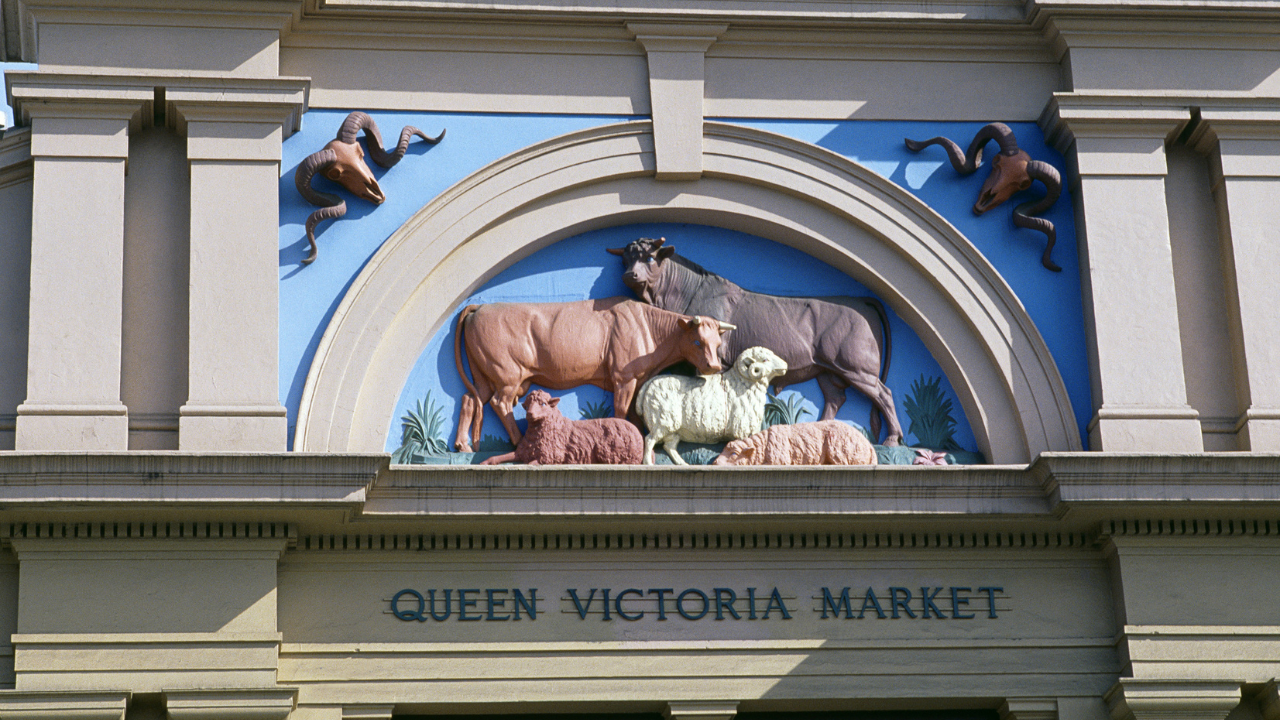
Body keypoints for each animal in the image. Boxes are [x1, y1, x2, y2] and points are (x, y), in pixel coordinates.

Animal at [453, 295, 732, 448]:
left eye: (717, 342)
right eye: (697, 341)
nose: (714, 366)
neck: (648, 327)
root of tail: (480, 307)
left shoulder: (635, 378)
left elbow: (634, 412)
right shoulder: (623, 376)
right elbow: (621, 410)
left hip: (484, 376)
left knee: (470, 399)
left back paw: (464, 446)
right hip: (507, 375)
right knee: (500, 403)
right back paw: (518, 441)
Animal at [478, 386, 640, 466]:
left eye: (543, 404)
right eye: (527, 405)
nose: (529, 414)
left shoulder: (551, 455)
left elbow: (530, 464)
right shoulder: (523, 451)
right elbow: (502, 456)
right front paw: (486, 462)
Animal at [634, 345, 783, 461]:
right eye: (765, 359)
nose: (785, 365)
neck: (739, 382)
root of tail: (650, 382)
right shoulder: (741, 429)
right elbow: (745, 448)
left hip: (673, 429)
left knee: (669, 446)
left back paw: (683, 464)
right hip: (662, 420)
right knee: (649, 440)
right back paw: (648, 463)